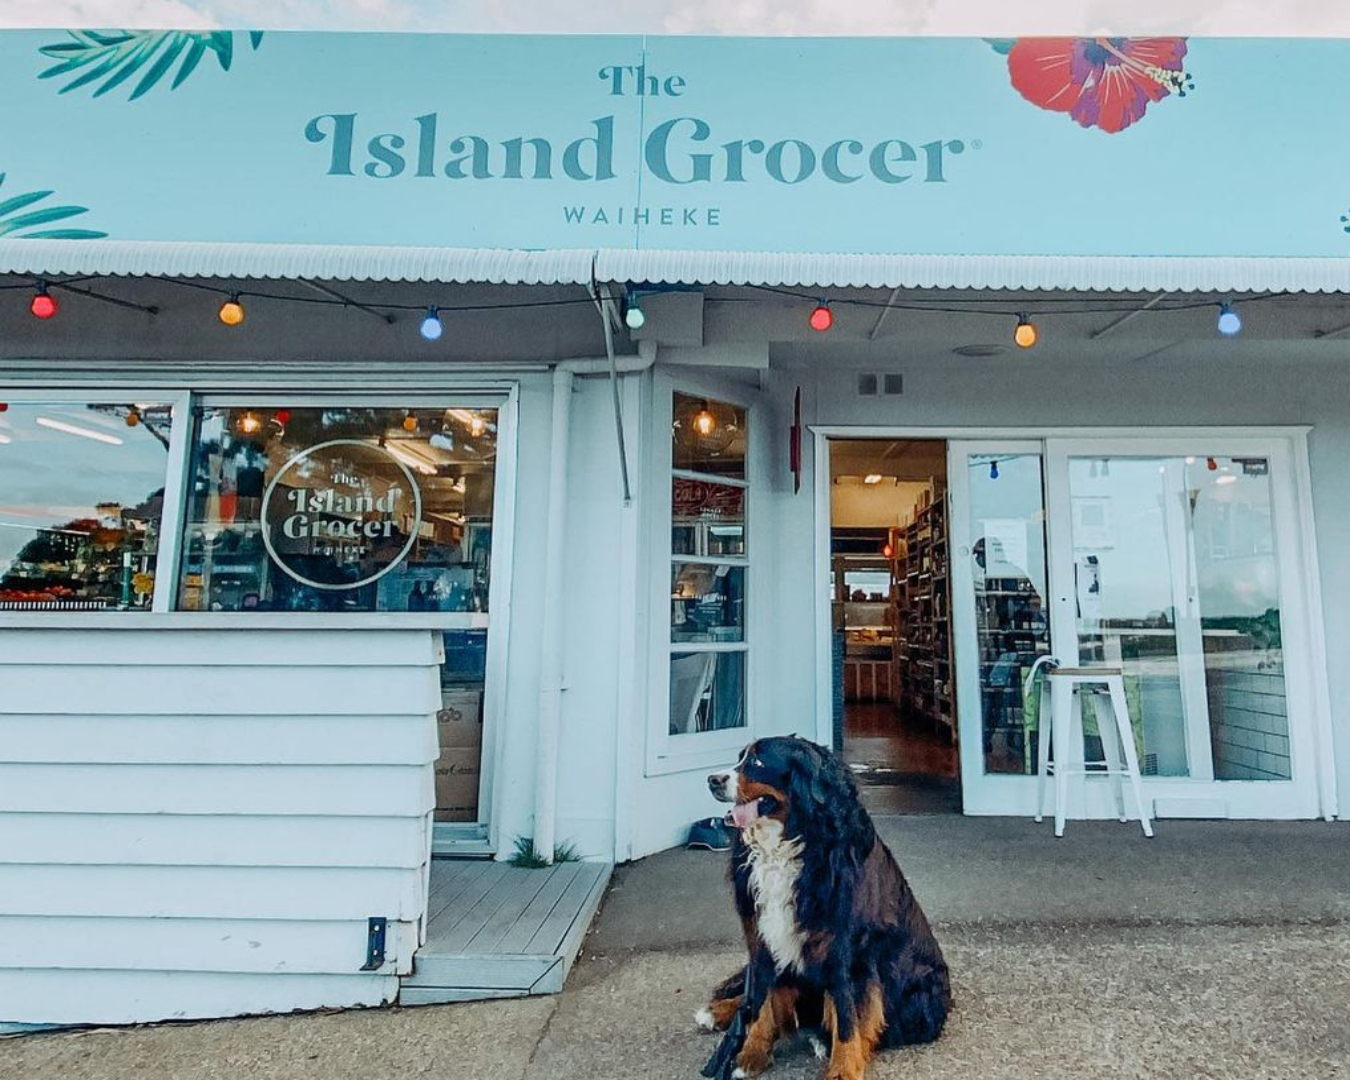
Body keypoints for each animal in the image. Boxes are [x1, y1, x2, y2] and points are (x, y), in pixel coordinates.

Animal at [696, 734, 950, 1080]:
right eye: (739, 758)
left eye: (758, 762)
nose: (712, 779)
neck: (790, 841)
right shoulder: (762, 937)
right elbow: (760, 1004)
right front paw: (751, 1054)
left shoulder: (847, 950)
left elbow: (847, 1018)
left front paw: (843, 1069)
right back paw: (717, 1012)